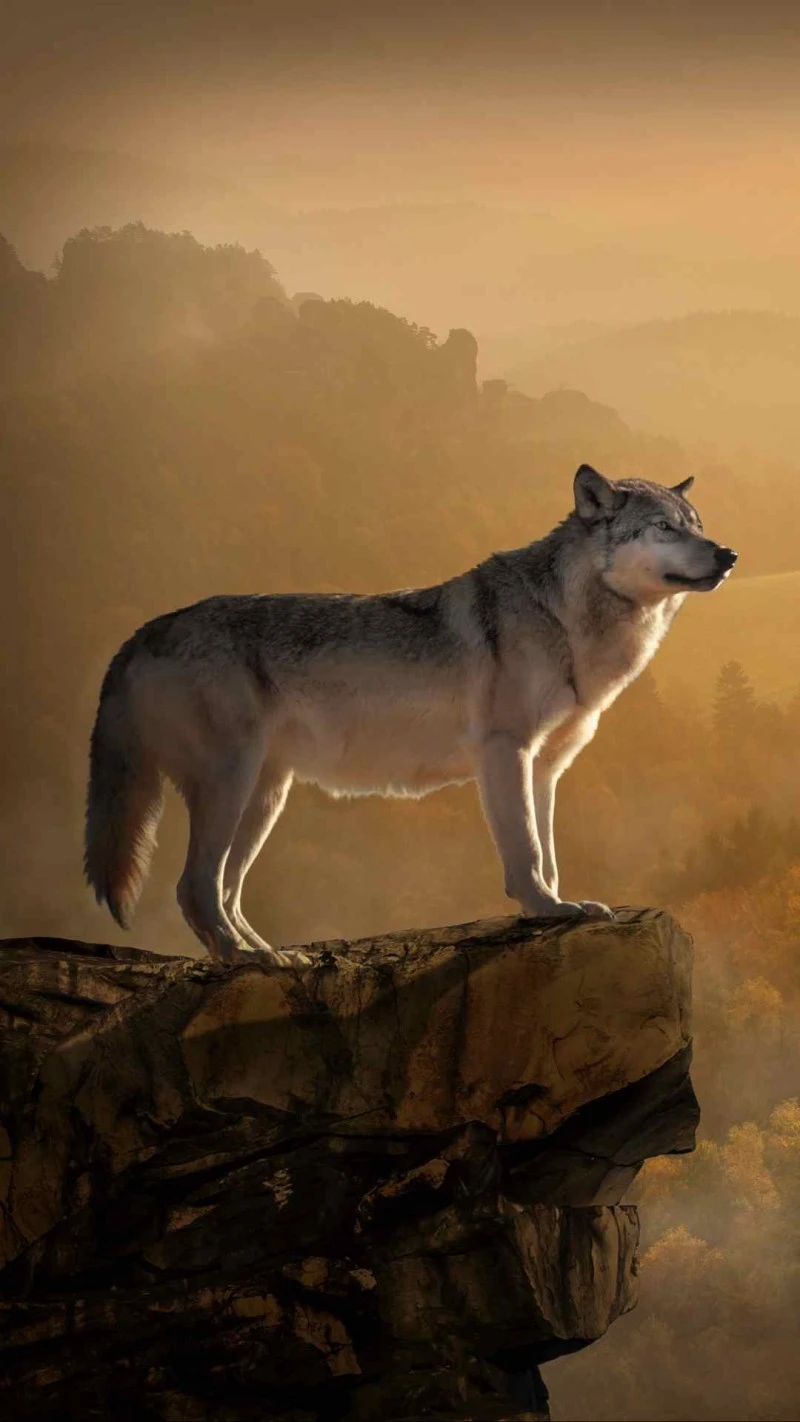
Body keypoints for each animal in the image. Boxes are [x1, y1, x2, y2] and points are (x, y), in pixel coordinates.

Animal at [84, 465, 737, 967]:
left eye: (698, 525)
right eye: (664, 527)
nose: (729, 554)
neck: (566, 619)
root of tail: (142, 632)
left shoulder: (546, 768)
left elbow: (549, 853)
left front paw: (560, 907)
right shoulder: (506, 753)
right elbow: (526, 852)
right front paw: (546, 909)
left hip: (266, 797)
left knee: (226, 889)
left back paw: (272, 956)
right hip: (232, 785)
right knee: (195, 886)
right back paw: (244, 960)